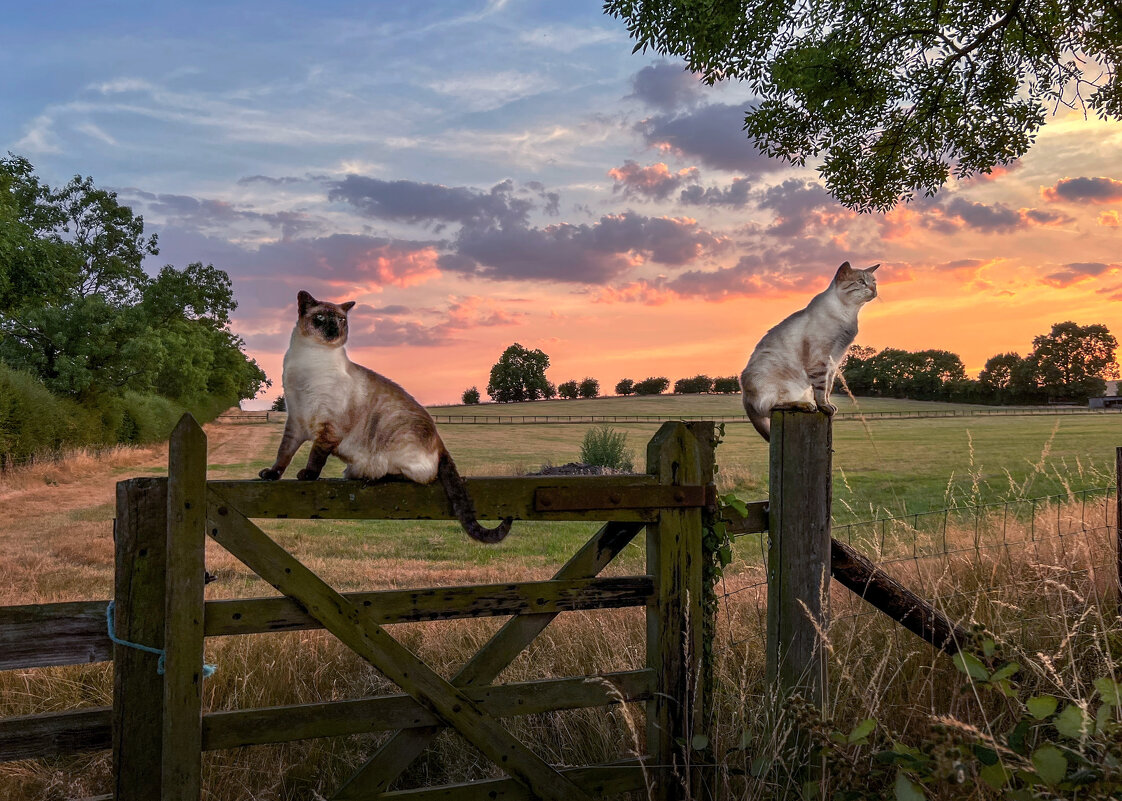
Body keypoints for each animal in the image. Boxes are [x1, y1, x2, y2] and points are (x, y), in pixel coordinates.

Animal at [260, 291, 511, 542]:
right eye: (321, 318)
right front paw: (271, 475)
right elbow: (283, 454)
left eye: (341, 320)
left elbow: (316, 456)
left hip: (397, 435)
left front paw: (307, 475)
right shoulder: (296, 420)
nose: (334, 329)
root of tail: (439, 440)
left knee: (421, 477)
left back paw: (373, 475)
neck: (309, 359)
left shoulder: (328, 427)